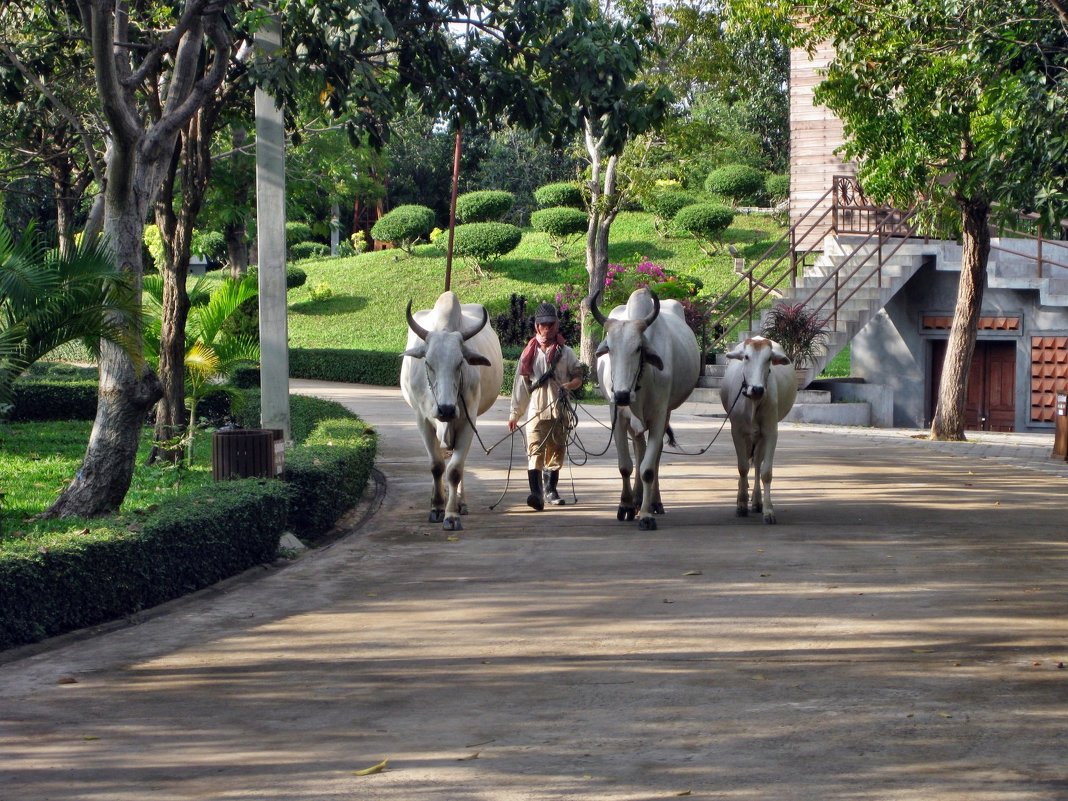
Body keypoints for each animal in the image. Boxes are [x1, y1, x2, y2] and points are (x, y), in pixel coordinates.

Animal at [401, 292, 504, 529]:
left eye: (460, 363)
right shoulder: (423, 420)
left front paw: (451, 514)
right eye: (428, 363)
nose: (446, 409)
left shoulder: (468, 420)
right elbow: (436, 466)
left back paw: (460, 503)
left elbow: (455, 469)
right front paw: (437, 507)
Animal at [593, 286, 700, 529]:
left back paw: (653, 502)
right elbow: (625, 465)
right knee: (639, 449)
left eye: (638, 348)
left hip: (666, 412)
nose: (621, 394)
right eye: (609, 348)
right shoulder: (618, 418)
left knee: (654, 455)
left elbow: (648, 469)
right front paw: (625, 506)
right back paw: (636, 498)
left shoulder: (659, 416)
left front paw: (646, 514)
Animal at [721, 335, 798, 523]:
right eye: (746, 357)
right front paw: (741, 504)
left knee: (756, 463)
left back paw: (756, 501)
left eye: (769, 359)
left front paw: (768, 510)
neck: (754, 402)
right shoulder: (737, 432)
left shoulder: (770, 432)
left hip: (760, 438)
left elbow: (765, 472)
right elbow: (742, 467)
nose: (757, 388)